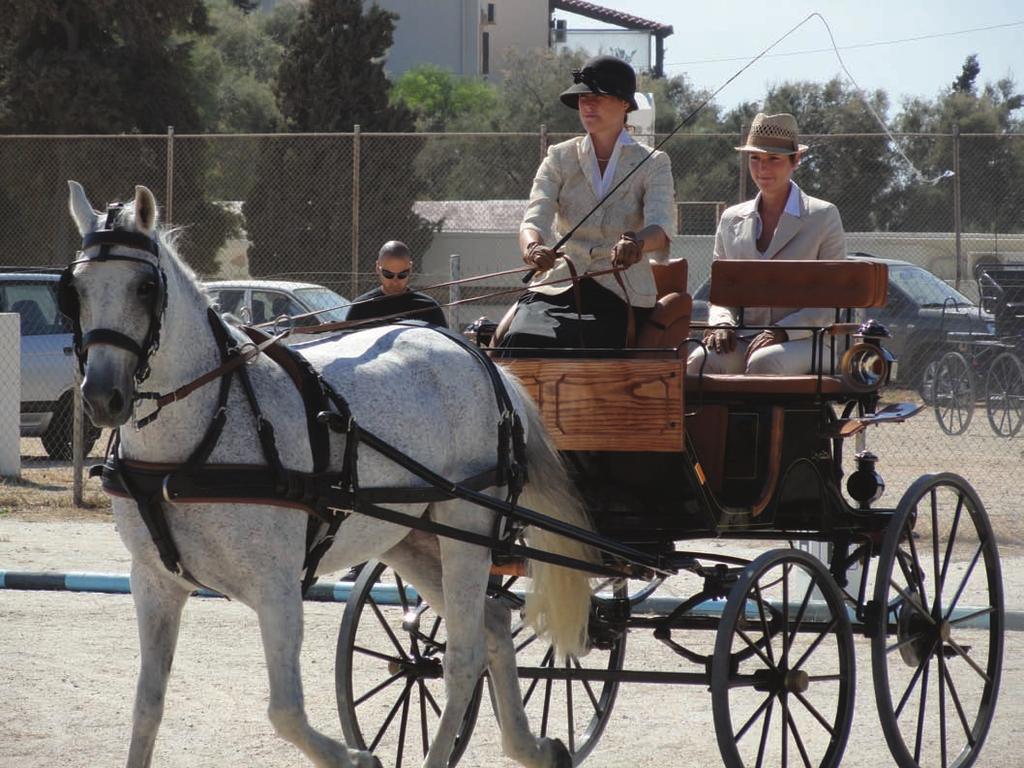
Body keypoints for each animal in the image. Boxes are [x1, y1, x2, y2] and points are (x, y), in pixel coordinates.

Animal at [68, 182, 598, 768]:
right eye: (76, 288)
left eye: (144, 288)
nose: (103, 397)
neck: (201, 434)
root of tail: (479, 358)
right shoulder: (154, 583)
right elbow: (146, 708)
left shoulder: (277, 588)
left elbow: (285, 712)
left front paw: (356, 757)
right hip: (410, 539)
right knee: (497, 624)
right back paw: (531, 745)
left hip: (467, 531)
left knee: (464, 655)